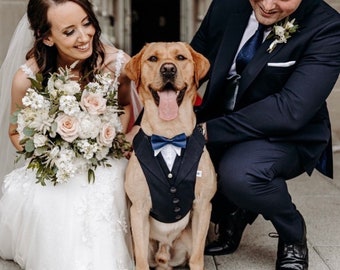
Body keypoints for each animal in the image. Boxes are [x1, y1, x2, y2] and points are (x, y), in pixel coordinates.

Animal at [125, 42, 218, 270]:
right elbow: (141, 262)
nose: (168, 69)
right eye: (152, 59)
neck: (168, 136)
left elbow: (197, 259)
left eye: (181, 57)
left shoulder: (203, 206)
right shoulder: (138, 209)